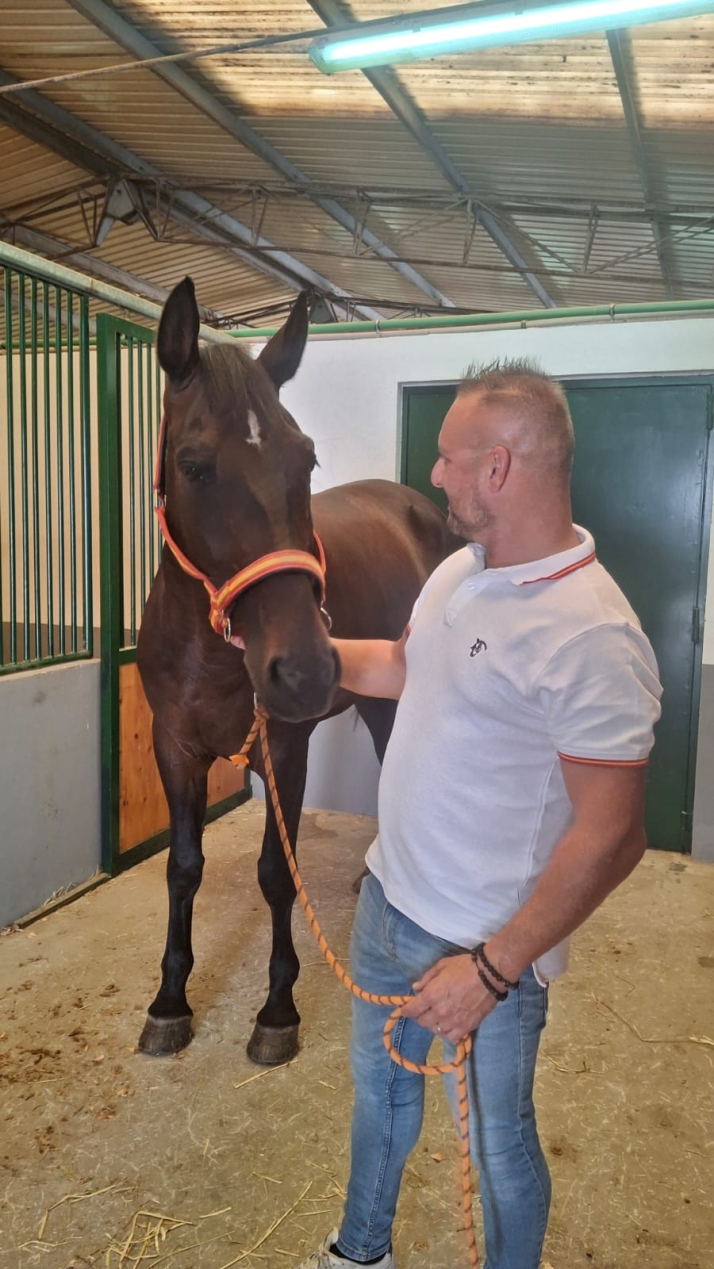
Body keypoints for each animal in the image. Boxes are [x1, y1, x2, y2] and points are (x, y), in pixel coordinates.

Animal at [136, 277, 457, 1066]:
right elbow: (182, 866)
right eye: (194, 466)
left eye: (305, 459)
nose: (306, 669)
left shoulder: (284, 746)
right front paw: (169, 1000)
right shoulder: (174, 746)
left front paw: (277, 1010)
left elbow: (277, 875)